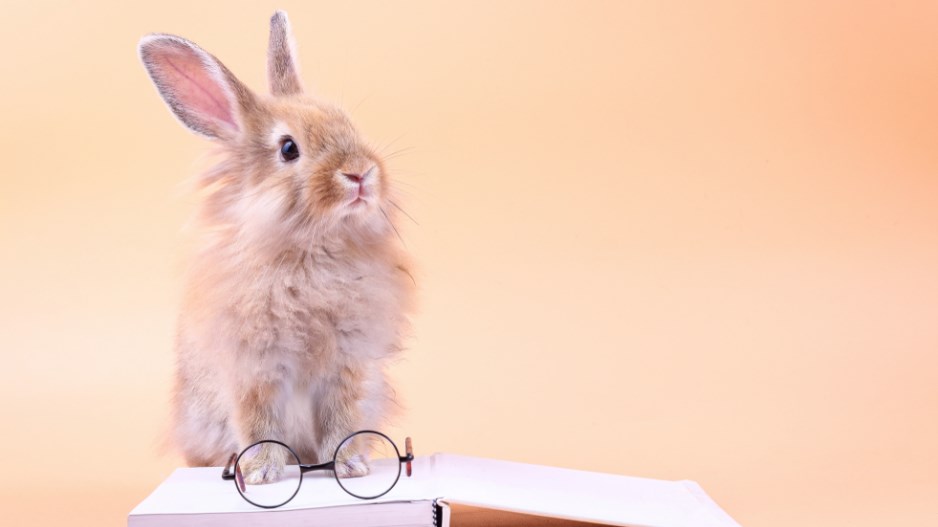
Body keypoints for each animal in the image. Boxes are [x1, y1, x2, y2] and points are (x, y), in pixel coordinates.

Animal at [138, 11, 414, 482]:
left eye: (345, 122)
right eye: (288, 149)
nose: (360, 173)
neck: (311, 249)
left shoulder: (347, 368)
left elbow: (341, 421)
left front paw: (351, 467)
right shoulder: (253, 372)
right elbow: (259, 423)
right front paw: (263, 475)